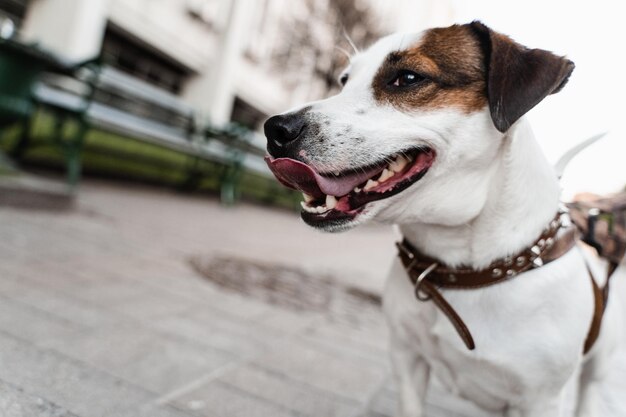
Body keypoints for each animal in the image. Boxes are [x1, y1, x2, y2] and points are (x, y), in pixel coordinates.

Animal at [262, 22, 620, 416]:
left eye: (407, 78)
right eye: (344, 80)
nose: (276, 129)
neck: (463, 266)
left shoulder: (542, 400)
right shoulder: (407, 358)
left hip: (597, 374)